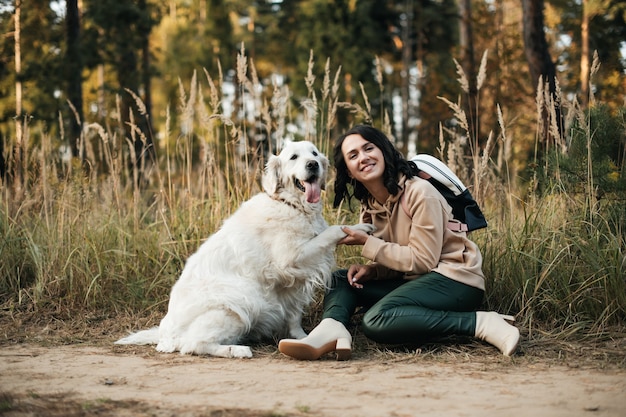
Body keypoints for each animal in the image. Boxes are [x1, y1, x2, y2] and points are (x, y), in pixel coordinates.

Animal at [114, 141, 372, 358]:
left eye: (315, 153)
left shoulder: (291, 282)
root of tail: (164, 333)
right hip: (240, 301)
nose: (313, 165)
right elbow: (331, 232)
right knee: (192, 344)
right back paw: (236, 350)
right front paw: (356, 228)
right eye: (294, 157)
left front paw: (302, 338)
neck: (291, 205)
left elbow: (293, 316)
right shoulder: (291, 259)